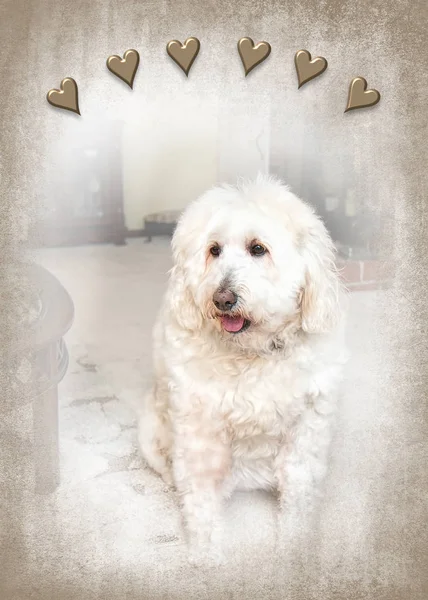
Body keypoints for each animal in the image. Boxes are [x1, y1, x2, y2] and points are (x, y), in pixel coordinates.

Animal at [140, 173, 348, 564]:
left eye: (258, 249)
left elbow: (299, 490)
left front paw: (294, 549)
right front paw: (206, 556)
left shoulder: (307, 428)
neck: (252, 353)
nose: (223, 299)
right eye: (214, 250)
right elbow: (202, 501)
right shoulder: (200, 432)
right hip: (149, 431)